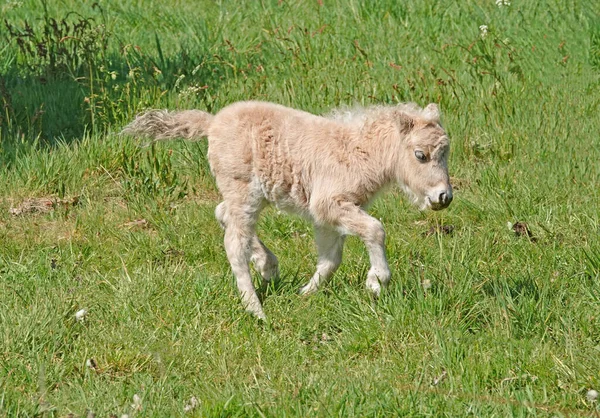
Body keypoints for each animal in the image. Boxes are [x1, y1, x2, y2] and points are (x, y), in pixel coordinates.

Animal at [124, 99, 452, 318]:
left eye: (446, 153)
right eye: (420, 155)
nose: (443, 197)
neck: (358, 151)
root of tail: (212, 123)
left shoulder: (327, 215)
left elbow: (331, 258)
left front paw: (305, 293)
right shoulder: (330, 203)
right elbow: (375, 229)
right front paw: (376, 281)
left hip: (250, 194)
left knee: (224, 214)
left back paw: (267, 266)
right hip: (242, 190)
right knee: (234, 241)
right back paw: (255, 308)